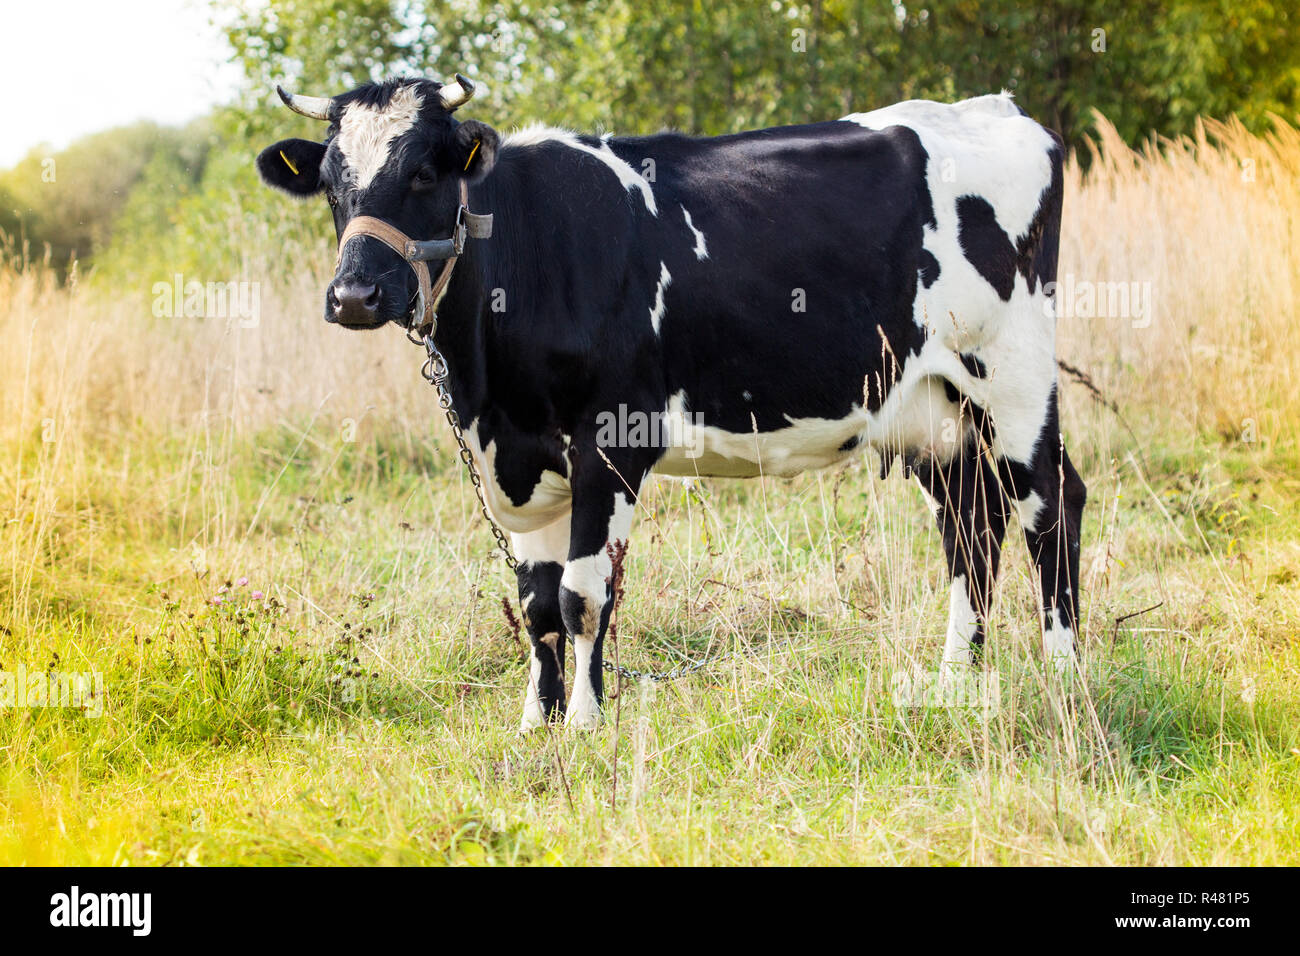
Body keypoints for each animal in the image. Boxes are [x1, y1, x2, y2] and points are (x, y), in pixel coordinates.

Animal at [256, 73, 1086, 732]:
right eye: (333, 183)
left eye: (425, 174)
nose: (353, 296)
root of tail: (1000, 109)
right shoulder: (523, 459)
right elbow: (535, 604)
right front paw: (534, 725)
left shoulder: (611, 440)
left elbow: (583, 597)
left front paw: (585, 726)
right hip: (932, 408)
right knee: (972, 525)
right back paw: (954, 684)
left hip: (1012, 374)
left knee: (1050, 504)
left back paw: (1064, 675)